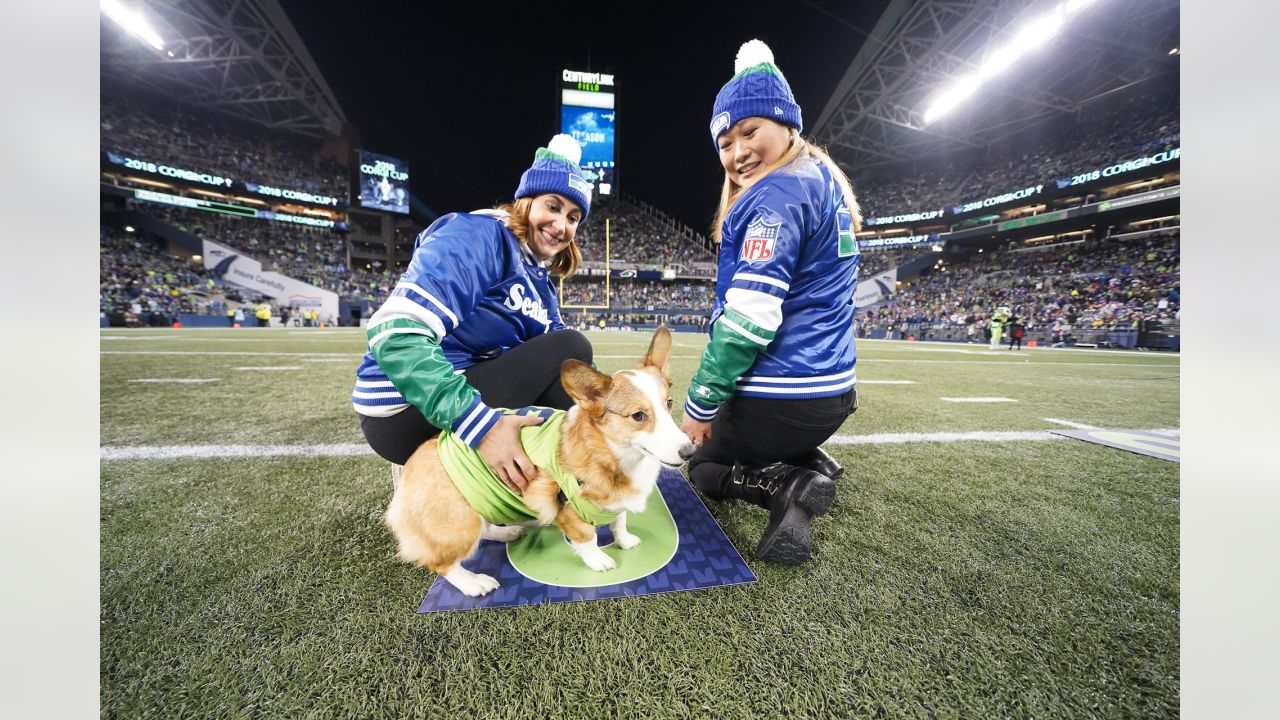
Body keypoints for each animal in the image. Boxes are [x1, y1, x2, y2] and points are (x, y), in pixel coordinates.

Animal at [384, 325, 696, 594]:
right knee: (442, 562)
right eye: (638, 416)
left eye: (669, 403)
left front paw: (625, 540)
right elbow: (588, 537)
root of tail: (410, 466)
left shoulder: (616, 503)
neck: (614, 455)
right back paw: (474, 583)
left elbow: (619, 520)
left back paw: (508, 532)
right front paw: (598, 560)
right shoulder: (566, 510)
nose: (689, 451)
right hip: (461, 520)